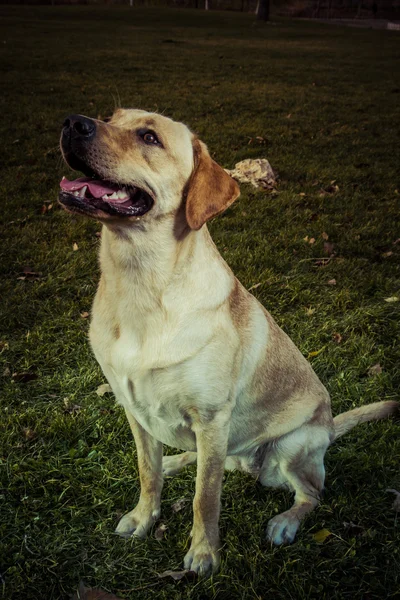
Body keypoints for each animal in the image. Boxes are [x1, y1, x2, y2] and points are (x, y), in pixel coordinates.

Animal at [57, 109, 398, 576]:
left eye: (149, 137)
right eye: (111, 118)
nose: (74, 123)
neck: (138, 282)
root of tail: (329, 428)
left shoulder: (211, 419)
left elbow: (205, 498)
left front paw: (204, 554)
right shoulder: (133, 409)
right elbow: (148, 473)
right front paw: (145, 518)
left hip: (290, 448)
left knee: (310, 494)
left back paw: (285, 522)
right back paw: (177, 460)